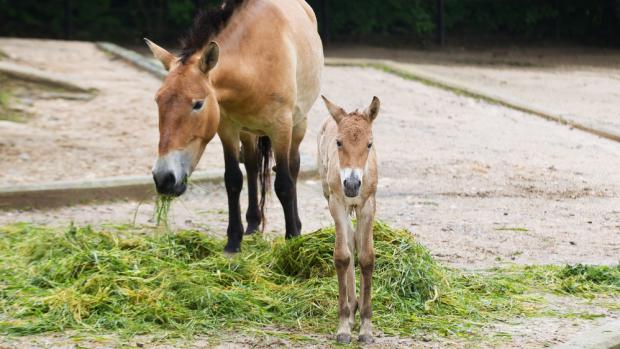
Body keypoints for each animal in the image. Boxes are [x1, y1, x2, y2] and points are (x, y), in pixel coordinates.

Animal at [143, 0, 322, 251]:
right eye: (158, 100)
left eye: (198, 104)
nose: (163, 179)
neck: (255, 61)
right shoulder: (227, 129)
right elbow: (233, 179)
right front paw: (233, 240)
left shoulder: (281, 128)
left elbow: (284, 184)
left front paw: (292, 238)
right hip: (247, 133)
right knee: (253, 166)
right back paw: (253, 223)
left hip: (298, 124)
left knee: (293, 167)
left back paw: (296, 224)